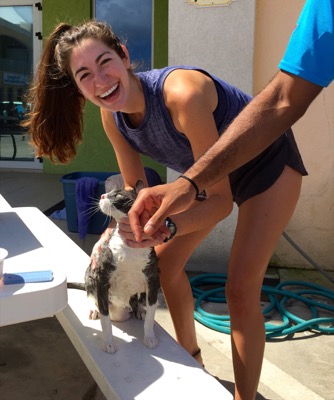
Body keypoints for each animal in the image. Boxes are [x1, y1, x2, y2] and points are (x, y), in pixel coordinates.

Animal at [72, 181, 160, 354]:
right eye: (109, 192)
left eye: (118, 195)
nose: (102, 196)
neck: (129, 245)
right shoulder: (101, 279)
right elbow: (105, 320)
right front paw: (108, 342)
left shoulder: (153, 279)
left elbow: (151, 312)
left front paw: (150, 337)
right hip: (89, 275)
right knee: (91, 296)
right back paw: (94, 309)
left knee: (140, 300)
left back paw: (141, 309)